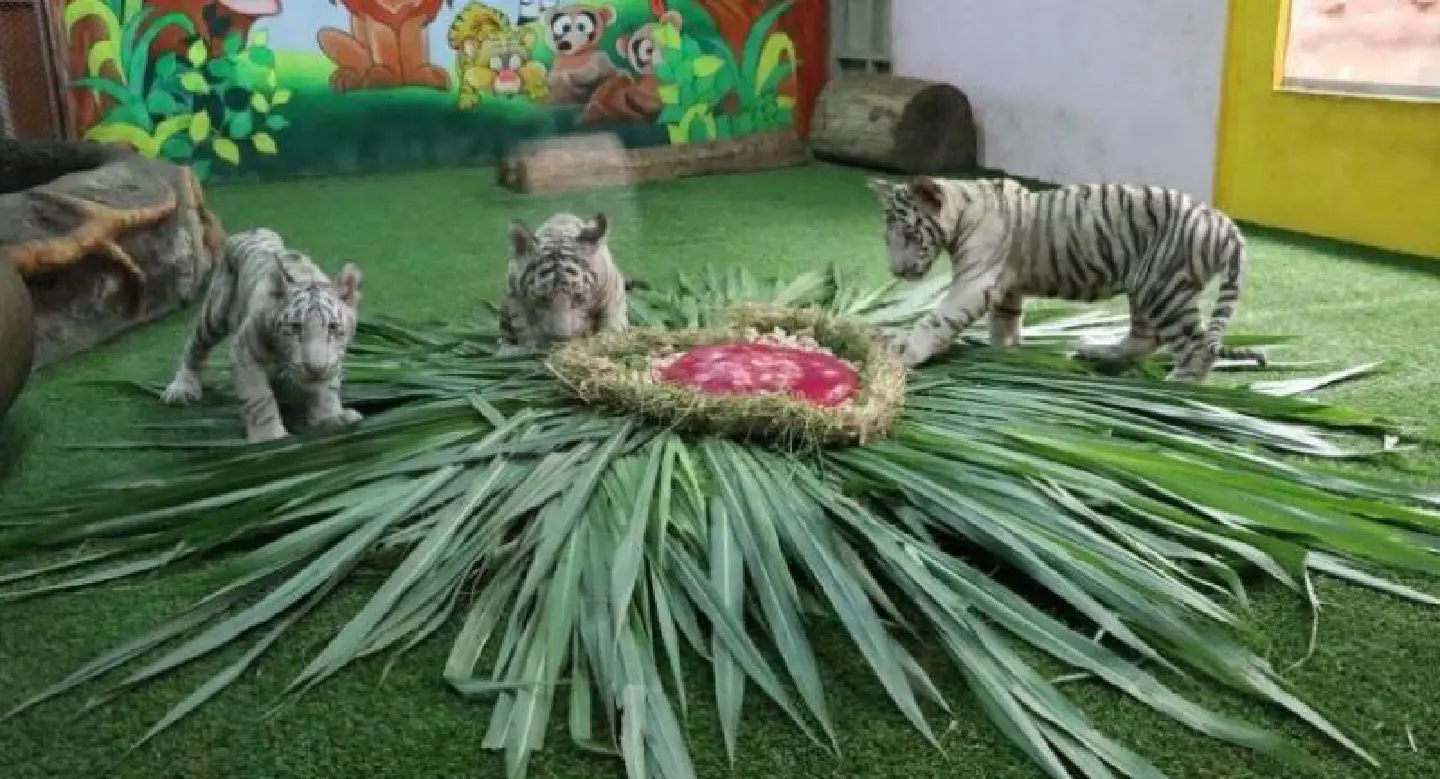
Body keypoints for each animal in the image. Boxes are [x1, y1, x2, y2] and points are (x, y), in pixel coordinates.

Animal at [159, 228, 366, 443]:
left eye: (333, 327)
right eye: (295, 327)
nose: (316, 369)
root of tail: (251, 231)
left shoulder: (334, 358)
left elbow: (327, 388)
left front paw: (330, 418)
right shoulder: (244, 350)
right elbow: (259, 398)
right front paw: (269, 437)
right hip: (214, 313)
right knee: (195, 346)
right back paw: (181, 388)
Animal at [498, 211, 633, 355]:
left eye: (578, 297)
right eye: (542, 299)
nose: (561, 339)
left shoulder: (613, 290)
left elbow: (612, 318)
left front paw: (609, 339)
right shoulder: (514, 295)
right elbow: (525, 328)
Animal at [867, 175, 1268, 381]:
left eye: (910, 234)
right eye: (887, 237)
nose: (896, 271)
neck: (964, 206)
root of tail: (1224, 224)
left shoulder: (975, 282)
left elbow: (938, 319)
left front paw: (905, 352)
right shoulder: (1007, 288)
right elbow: (1005, 322)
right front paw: (1003, 353)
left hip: (1164, 288)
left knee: (1195, 347)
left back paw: (1177, 387)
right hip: (1147, 287)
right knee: (1147, 337)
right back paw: (1098, 351)